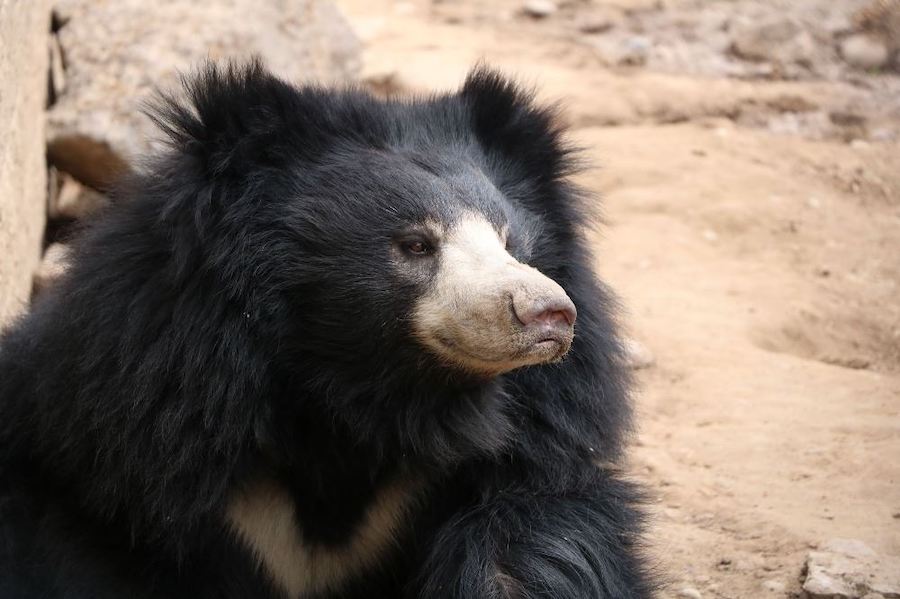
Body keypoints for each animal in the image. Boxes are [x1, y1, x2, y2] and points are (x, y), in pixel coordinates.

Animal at [0, 61, 652, 598]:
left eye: (512, 242)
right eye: (416, 245)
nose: (549, 314)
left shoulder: (532, 443)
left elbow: (535, 542)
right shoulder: (123, 454)